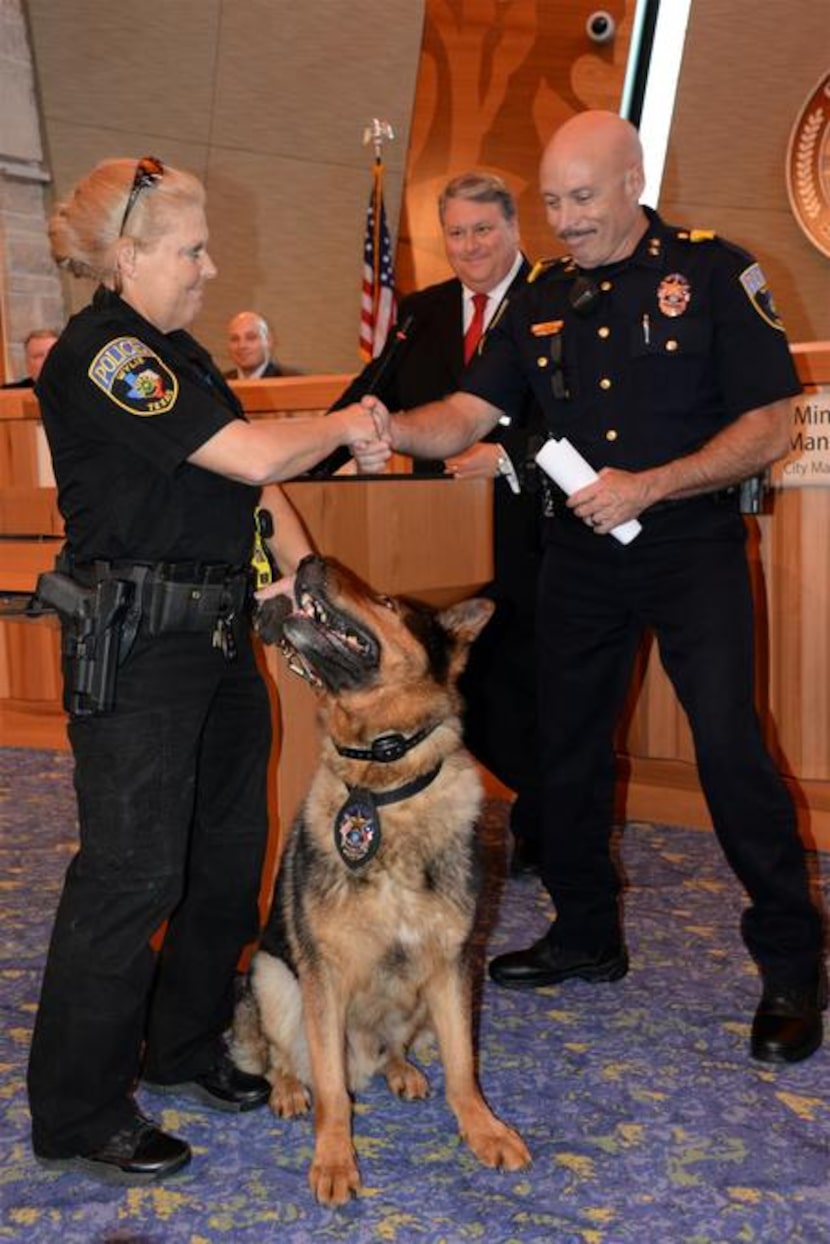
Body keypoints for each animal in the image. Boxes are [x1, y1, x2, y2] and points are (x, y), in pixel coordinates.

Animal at [233, 557, 532, 1204]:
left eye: (390, 604)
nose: (310, 562)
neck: (384, 780)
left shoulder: (451, 968)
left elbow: (464, 1068)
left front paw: (483, 1131)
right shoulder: (322, 978)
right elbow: (331, 1093)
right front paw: (334, 1160)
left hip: (414, 999)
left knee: (394, 1046)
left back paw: (400, 1069)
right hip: (273, 976)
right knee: (281, 1056)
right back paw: (288, 1089)